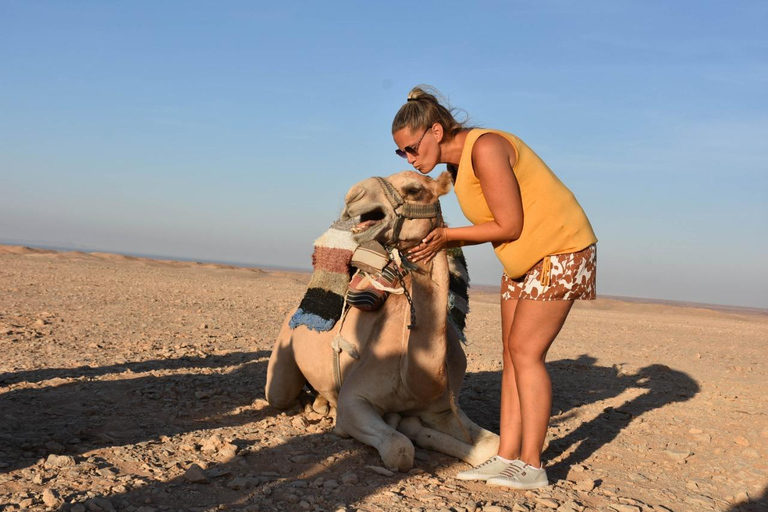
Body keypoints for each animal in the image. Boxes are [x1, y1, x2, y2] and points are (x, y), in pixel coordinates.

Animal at [266, 170, 499, 472]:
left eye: (414, 189)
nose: (353, 196)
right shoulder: (354, 398)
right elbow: (400, 449)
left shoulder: (445, 408)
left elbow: (492, 444)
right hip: (283, 357)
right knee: (280, 394)